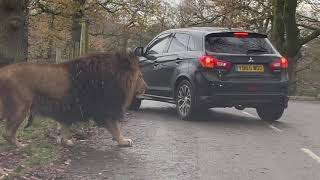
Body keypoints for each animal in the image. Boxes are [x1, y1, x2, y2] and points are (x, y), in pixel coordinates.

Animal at [0, 51, 146, 147]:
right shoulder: (104, 109)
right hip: (21, 107)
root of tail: (3, 72)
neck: (114, 76)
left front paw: (65, 141)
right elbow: (115, 128)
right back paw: (20, 145)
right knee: (7, 133)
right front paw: (123, 141)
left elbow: (65, 127)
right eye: (140, 76)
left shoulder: (67, 110)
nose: (146, 86)